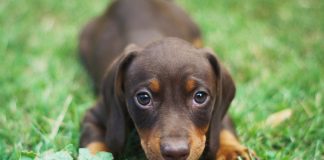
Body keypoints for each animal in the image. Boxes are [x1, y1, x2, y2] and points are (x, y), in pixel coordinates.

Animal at [78, 0, 256, 160]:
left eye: (200, 96)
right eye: (143, 98)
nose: (176, 152)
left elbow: (224, 128)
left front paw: (231, 151)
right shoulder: (95, 115)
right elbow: (93, 145)